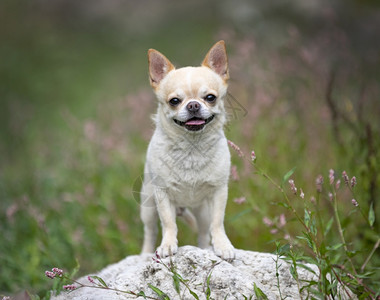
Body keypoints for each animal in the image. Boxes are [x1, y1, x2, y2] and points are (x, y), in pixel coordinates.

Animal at [140, 39, 235, 260]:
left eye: (210, 97)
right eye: (174, 101)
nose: (193, 105)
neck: (192, 148)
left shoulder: (219, 193)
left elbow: (218, 223)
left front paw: (223, 245)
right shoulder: (162, 195)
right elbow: (168, 223)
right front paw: (167, 245)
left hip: (202, 211)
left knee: (204, 231)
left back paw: (205, 249)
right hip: (147, 207)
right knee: (150, 231)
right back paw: (145, 254)